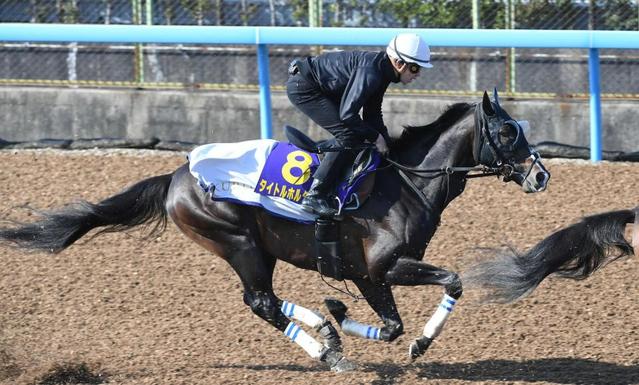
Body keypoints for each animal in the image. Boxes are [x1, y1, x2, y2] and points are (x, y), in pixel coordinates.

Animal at [0, 88, 552, 370]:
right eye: (508, 131)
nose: (540, 175)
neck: (405, 182)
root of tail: (177, 174)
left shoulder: (369, 273)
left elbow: (395, 319)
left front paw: (340, 316)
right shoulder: (383, 267)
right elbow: (438, 292)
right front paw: (418, 343)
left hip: (256, 248)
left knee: (265, 300)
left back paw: (325, 332)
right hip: (236, 241)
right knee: (260, 301)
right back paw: (326, 351)